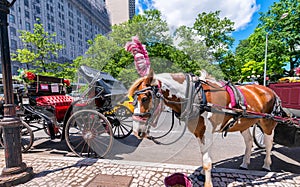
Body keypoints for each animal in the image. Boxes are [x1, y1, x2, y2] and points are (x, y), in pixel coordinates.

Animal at [127, 69, 286, 186]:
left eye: (145, 98)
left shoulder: (206, 132)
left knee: (268, 143)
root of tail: (269, 90)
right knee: (249, 141)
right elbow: (204, 156)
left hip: (267, 123)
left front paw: (207, 182)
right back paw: (245, 163)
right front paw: (203, 175)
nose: (136, 131)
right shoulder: (199, 131)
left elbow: (207, 162)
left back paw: (266, 164)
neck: (196, 96)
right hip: (244, 123)